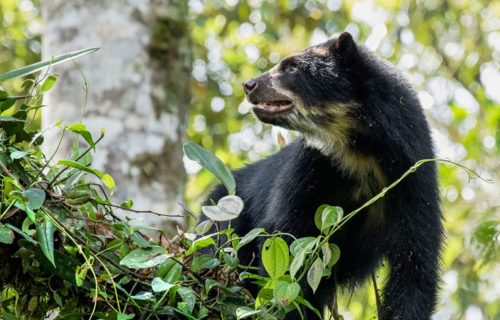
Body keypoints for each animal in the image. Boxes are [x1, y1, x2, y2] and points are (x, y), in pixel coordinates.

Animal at [198, 31, 442, 320]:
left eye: (291, 68)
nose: (249, 84)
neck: (360, 153)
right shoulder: (310, 169)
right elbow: (286, 241)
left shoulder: (412, 180)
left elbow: (415, 266)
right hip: (223, 219)